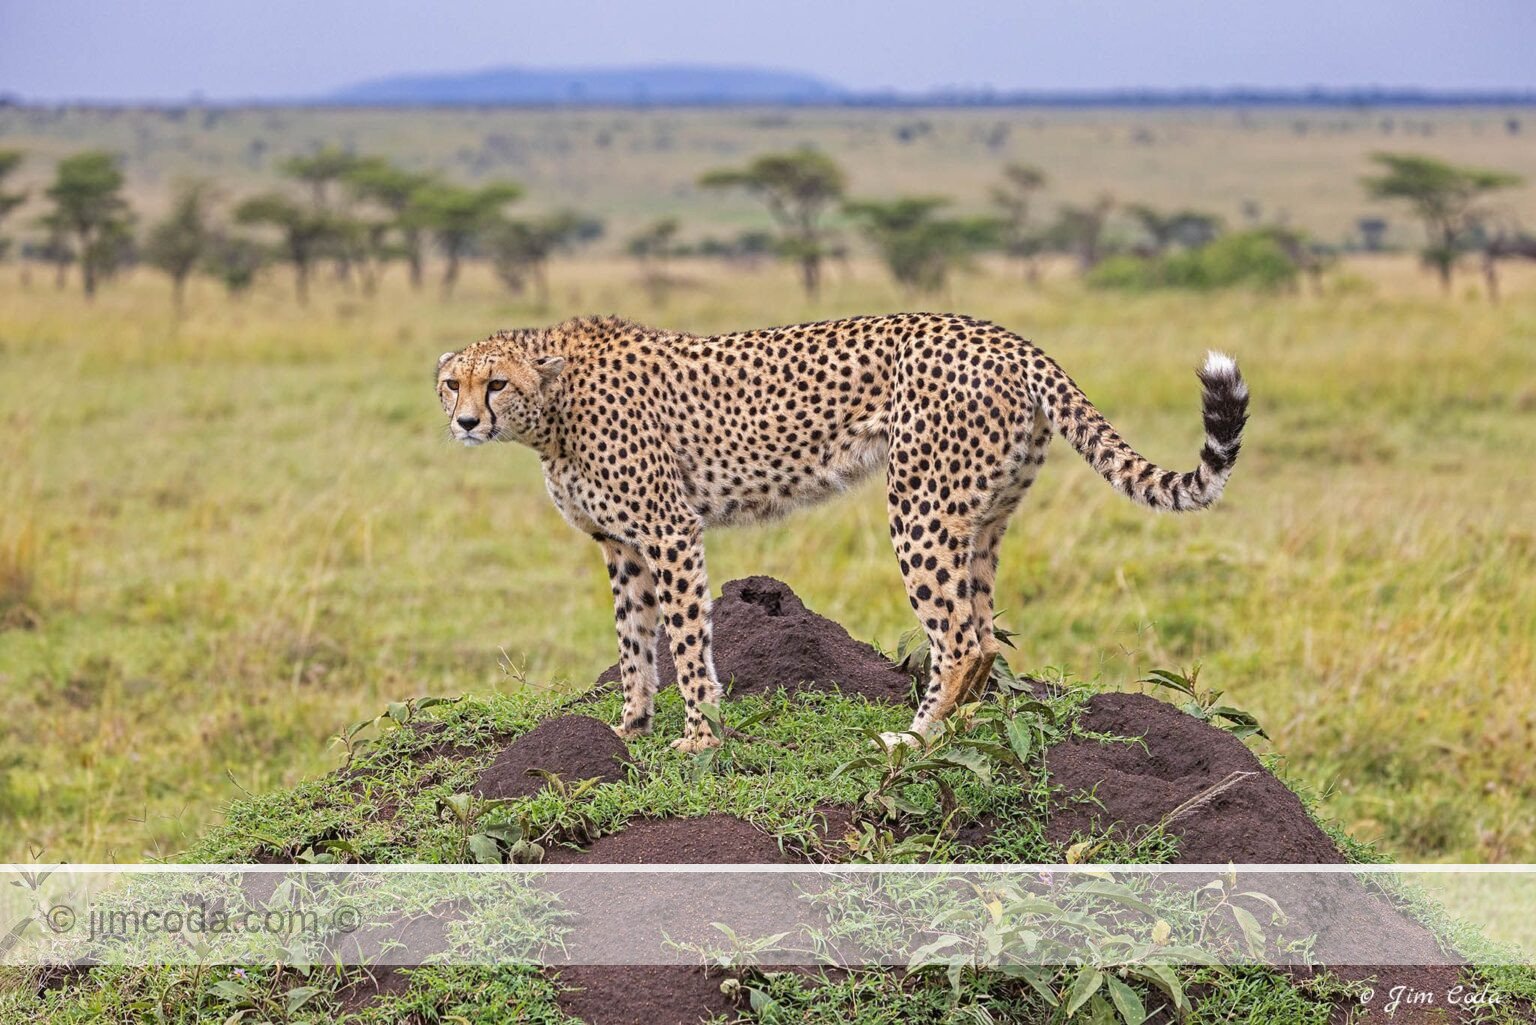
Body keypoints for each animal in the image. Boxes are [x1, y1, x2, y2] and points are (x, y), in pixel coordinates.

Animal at [435, 313, 1249, 752]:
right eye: (452, 383)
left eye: (496, 382)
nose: (465, 420)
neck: (552, 408)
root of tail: (1004, 336)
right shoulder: (623, 546)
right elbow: (633, 641)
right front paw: (631, 724)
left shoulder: (669, 533)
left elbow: (687, 642)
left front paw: (700, 734)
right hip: (981, 517)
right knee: (986, 630)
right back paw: (965, 727)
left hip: (920, 507)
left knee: (961, 638)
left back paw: (915, 738)